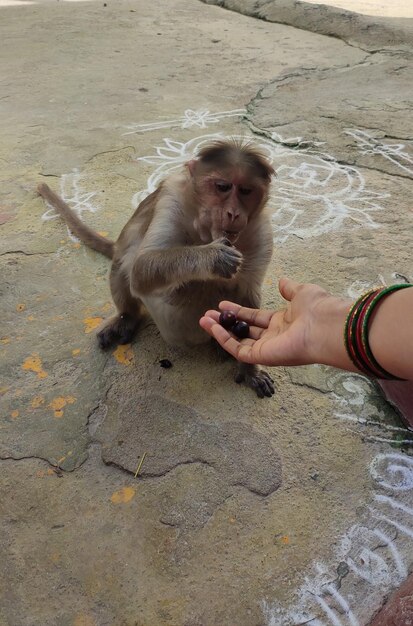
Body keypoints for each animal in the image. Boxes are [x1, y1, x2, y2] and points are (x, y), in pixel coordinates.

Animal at [38, 140, 276, 398]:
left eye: (246, 191)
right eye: (222, 187)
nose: (233, 213)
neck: (205, 231)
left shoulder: (260, 231)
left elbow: (247, 296)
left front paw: (250, 366)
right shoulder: (171, 199)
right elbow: (142, 268)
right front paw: (214, 256)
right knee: (126, 257)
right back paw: (128, 316)